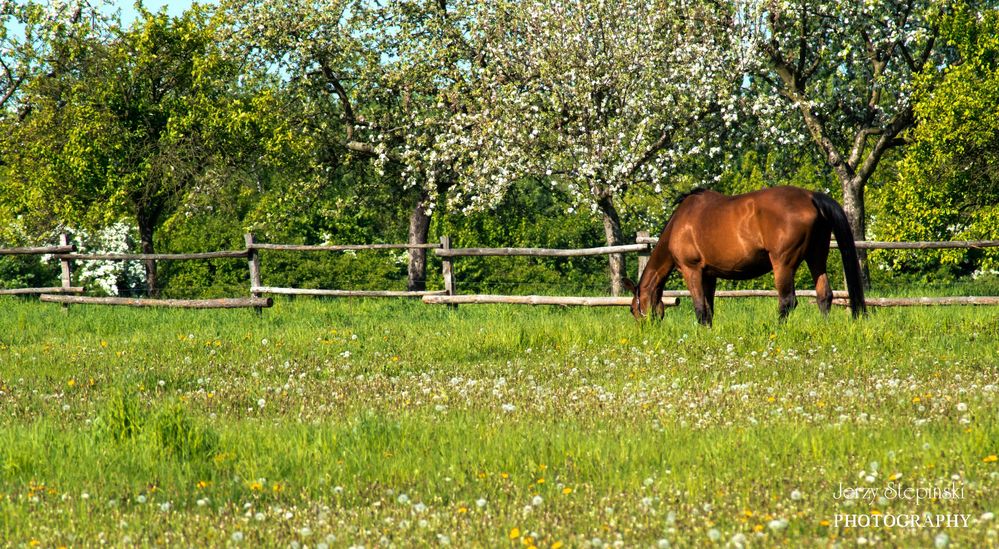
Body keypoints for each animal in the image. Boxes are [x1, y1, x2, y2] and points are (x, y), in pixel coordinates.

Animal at [624, 187, 868, 326]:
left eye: (633, 309)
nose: (645, 330)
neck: (679, 223)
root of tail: (811, 197)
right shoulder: (709, 275)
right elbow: (710, 309)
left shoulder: (691, 270)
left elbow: (700, 309)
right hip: (817, 257)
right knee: (824, 295)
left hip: (783, 264)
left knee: (787, 301)